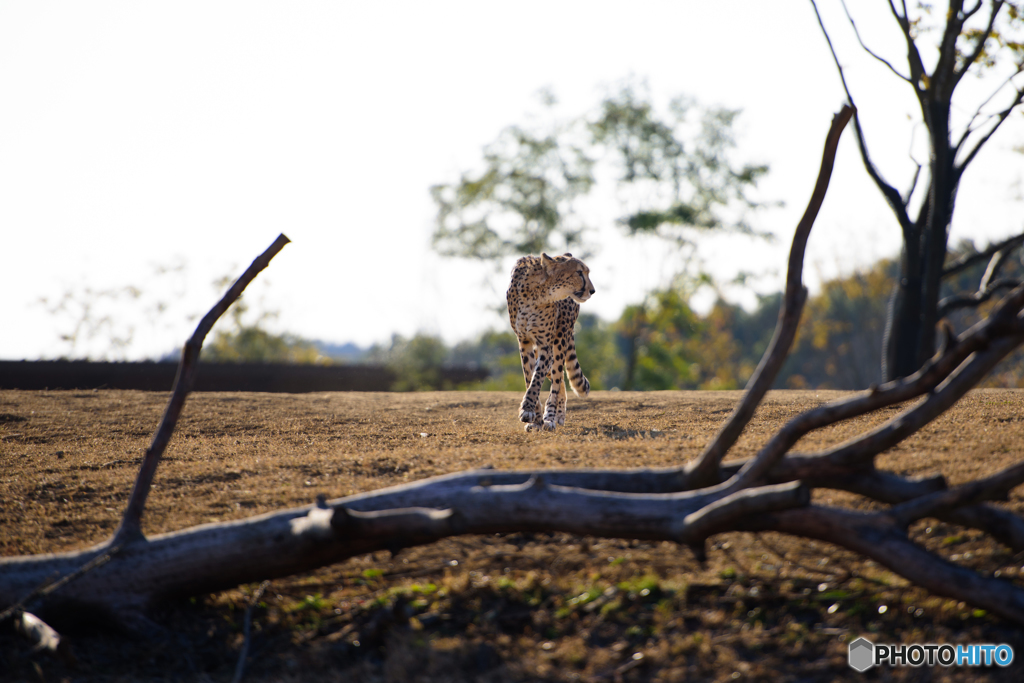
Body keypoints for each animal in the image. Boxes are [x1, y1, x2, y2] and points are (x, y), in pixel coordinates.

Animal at [505, 250, 598, 432]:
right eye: (579, 272)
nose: (592, 291)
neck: (537, 292)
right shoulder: (524, 342)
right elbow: (530, 377)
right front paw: (534, 418)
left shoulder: (545, 345)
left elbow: (537, 379)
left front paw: (529, 410)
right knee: (559, 378)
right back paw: (553, 416)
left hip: (560, 339)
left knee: (556, 378)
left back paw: (552, 417)